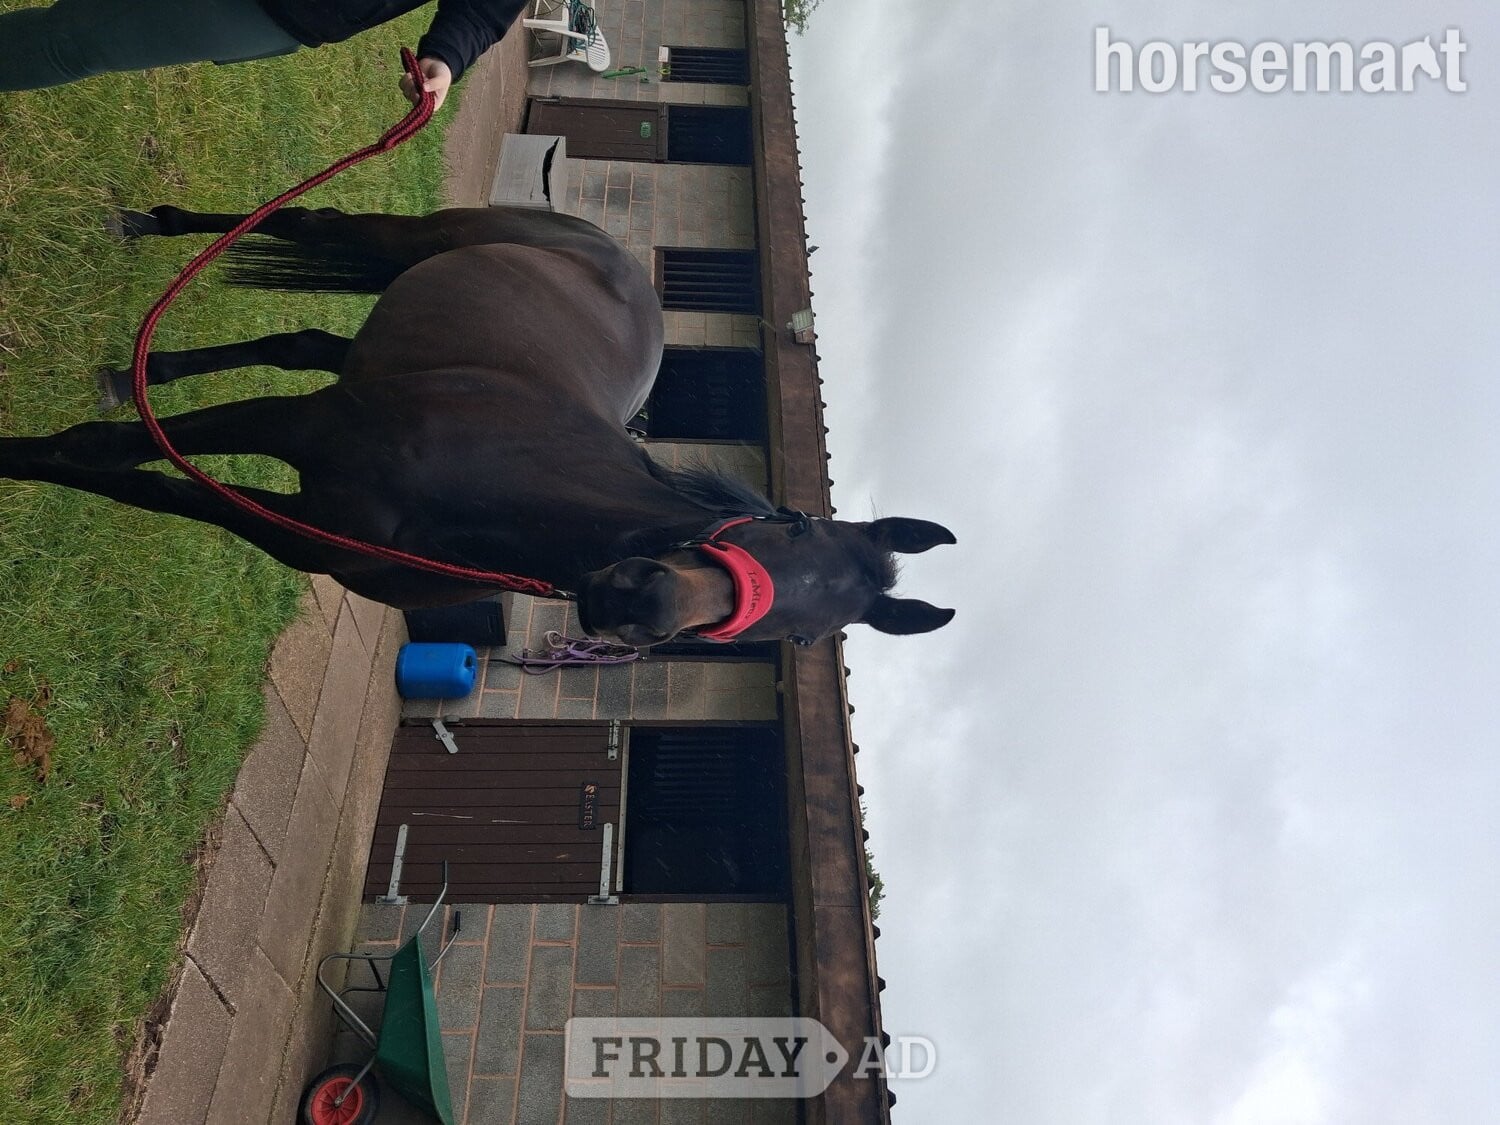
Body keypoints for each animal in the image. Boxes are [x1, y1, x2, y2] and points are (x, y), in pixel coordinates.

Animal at [0, 205, 955, 647]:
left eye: (800, 636)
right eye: (787, 524)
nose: (640, 600)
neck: (501, 489)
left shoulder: (302, 531)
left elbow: (148, 488)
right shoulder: (304, 426)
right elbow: (100, 453)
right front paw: (15, 456)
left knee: (298, 340)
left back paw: (144, 368)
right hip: (408, 243)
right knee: (306, 221)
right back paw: (148, 228)